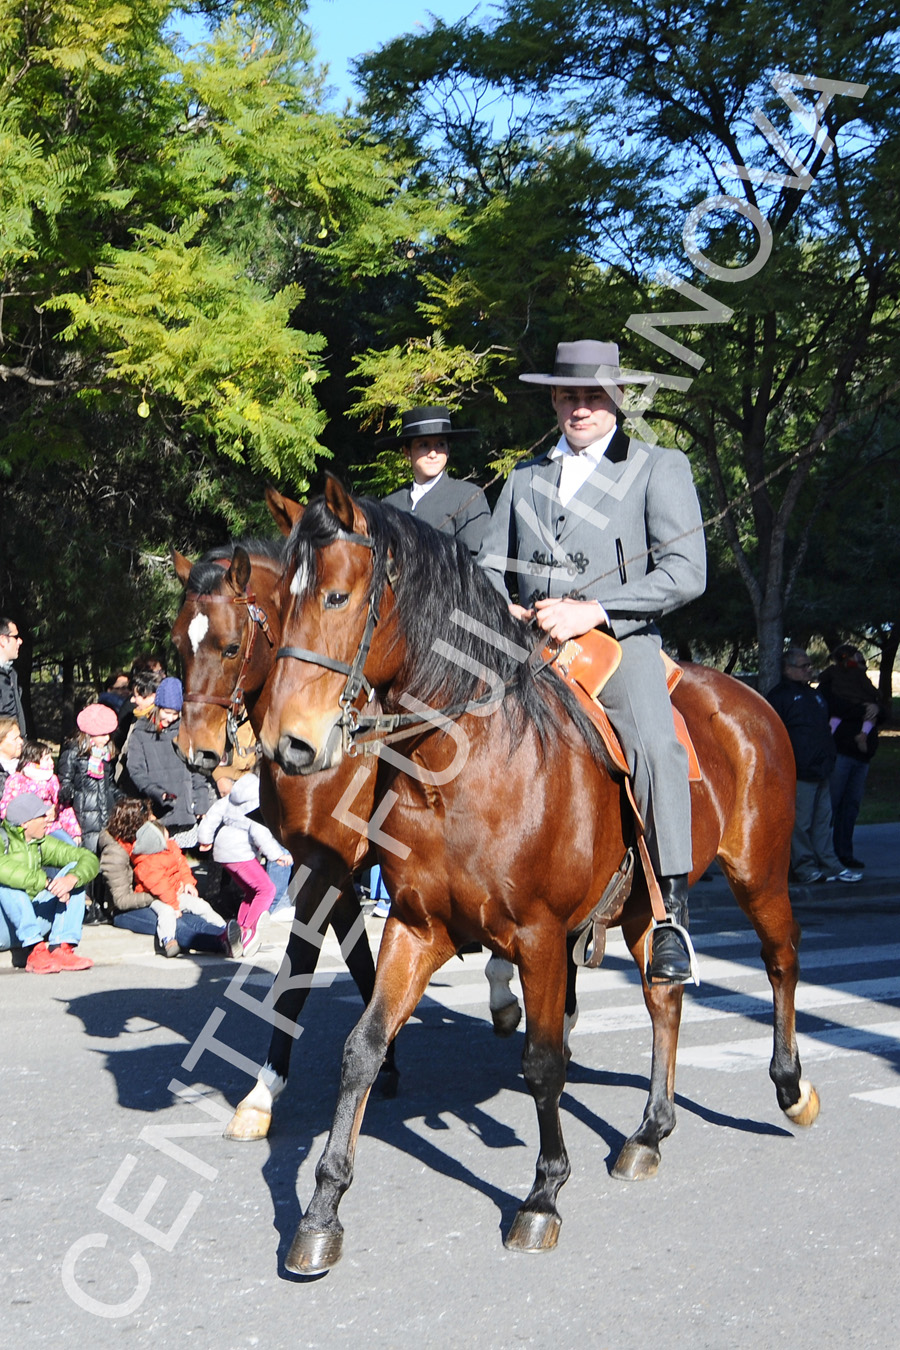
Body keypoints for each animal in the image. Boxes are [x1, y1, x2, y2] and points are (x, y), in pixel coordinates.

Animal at [256, 480, 820, 1269]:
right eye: (282, 602)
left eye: (337, 596)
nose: (288, 744)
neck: (462, 766)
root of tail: (750, 699)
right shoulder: (415, 926)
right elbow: (362, 1049)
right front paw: (321, 1210)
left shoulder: (541, 937)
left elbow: (545, 1062)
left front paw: (543, 1195)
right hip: (644, 909)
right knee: (663, 998)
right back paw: (650, 1130)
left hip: (759, 874)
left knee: (780, 960)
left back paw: (791, 1087)